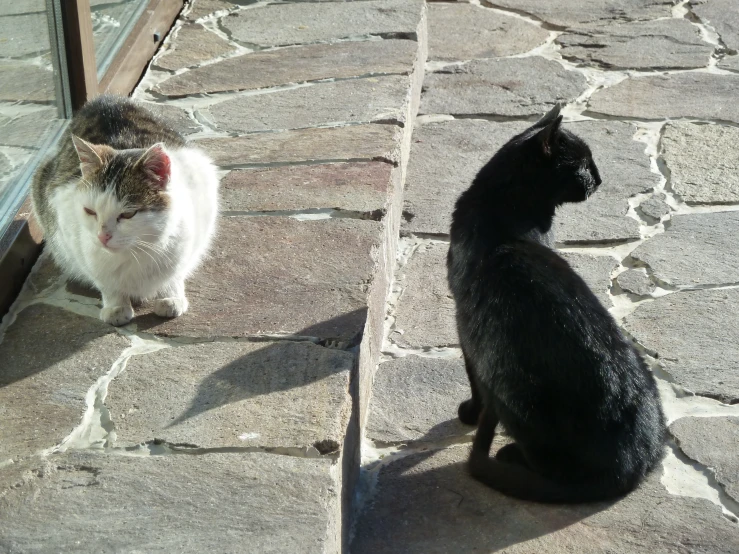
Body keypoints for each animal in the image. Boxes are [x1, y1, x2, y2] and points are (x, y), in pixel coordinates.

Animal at [33, 96, 218, 324]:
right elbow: (104, 281)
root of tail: (103, 100)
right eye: (90, 211)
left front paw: (171, 297)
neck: (136, 252)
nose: (102, 236)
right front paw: (116, 306)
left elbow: (175, 273)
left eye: (128, 214)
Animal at [448, 102, 668, 500]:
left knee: (546, 466)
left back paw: (508, 454)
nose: (600, 178)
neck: (505, 208)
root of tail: (630, 468)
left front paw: (470, 412)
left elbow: (472, 378)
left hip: (509, 377)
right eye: (582, 164)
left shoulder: (465, 327)